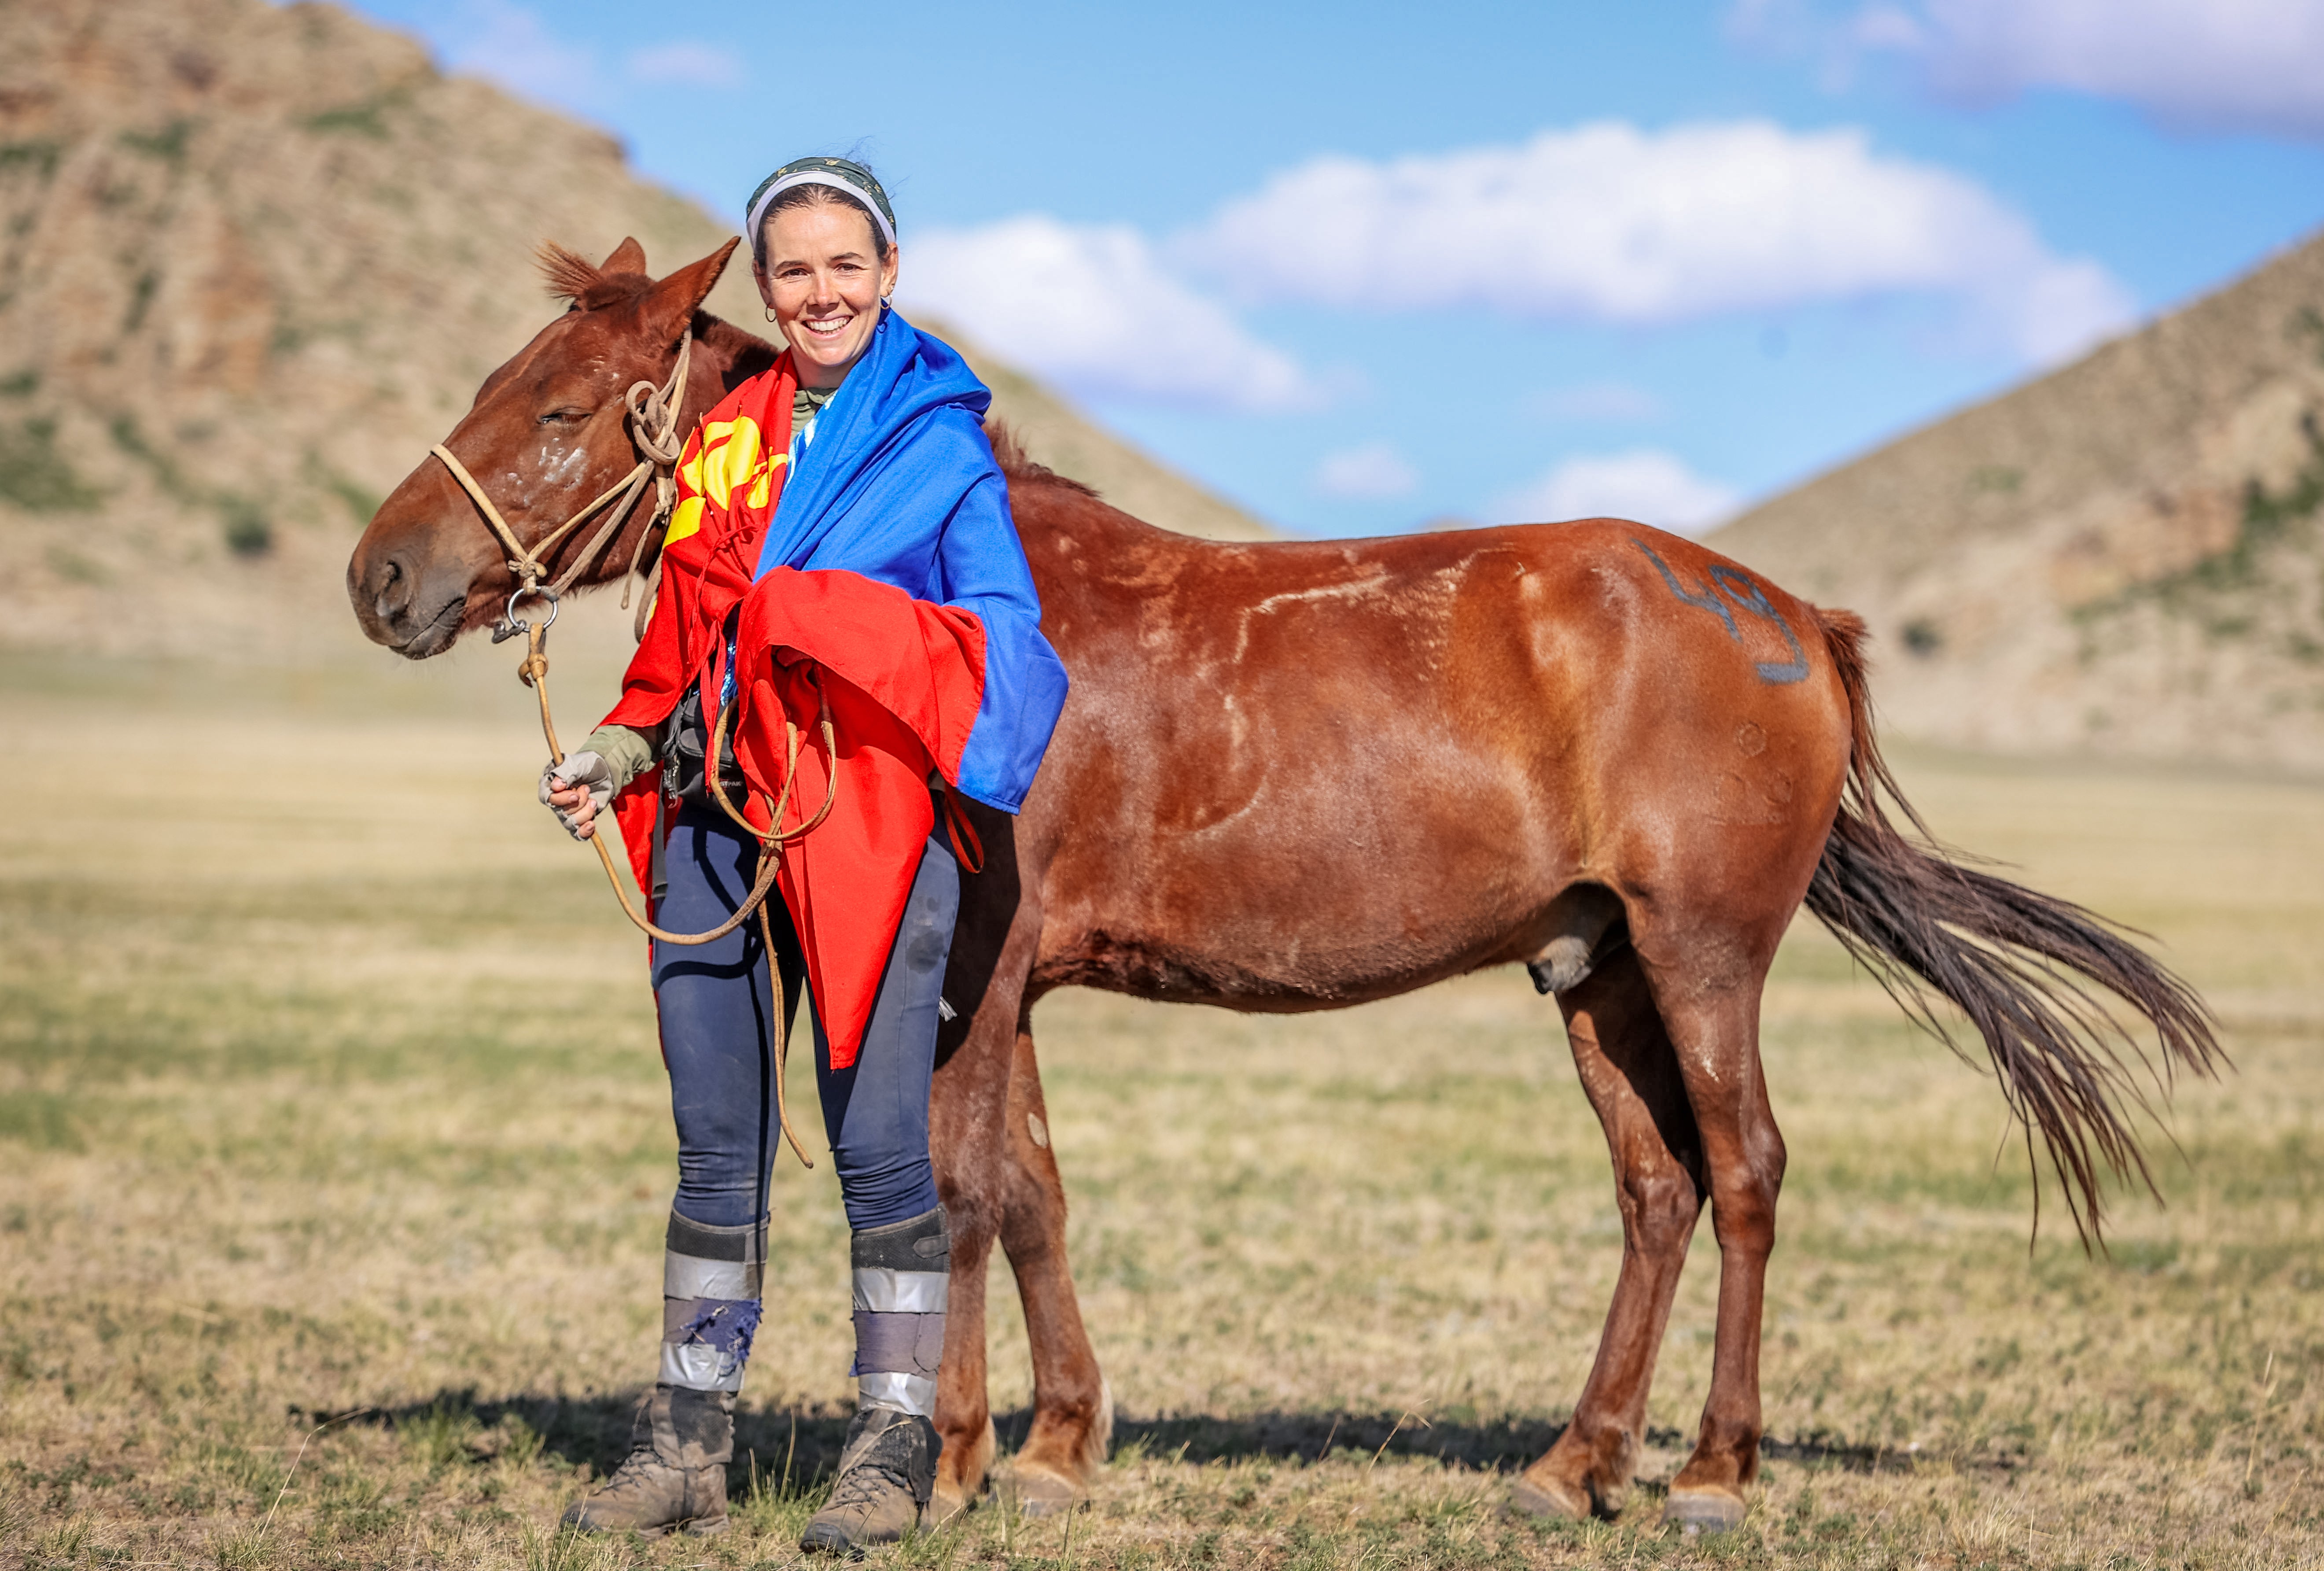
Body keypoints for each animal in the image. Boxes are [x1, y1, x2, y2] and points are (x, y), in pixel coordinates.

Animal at [346, 239, 2219, 1532]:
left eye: (559, 408)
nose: (381, 577)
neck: (944, 615)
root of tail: (1785, 616)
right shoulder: (1009, 984)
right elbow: (1033, 1191)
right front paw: (1056, 1444)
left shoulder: (964, 974)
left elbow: (960, 1193)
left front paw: (951, 1460)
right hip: (1597, 969)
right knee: (1657, 1190)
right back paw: (1569, 1464)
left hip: (1700, 956)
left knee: (1744, 1175)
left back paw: (1707, 1469)